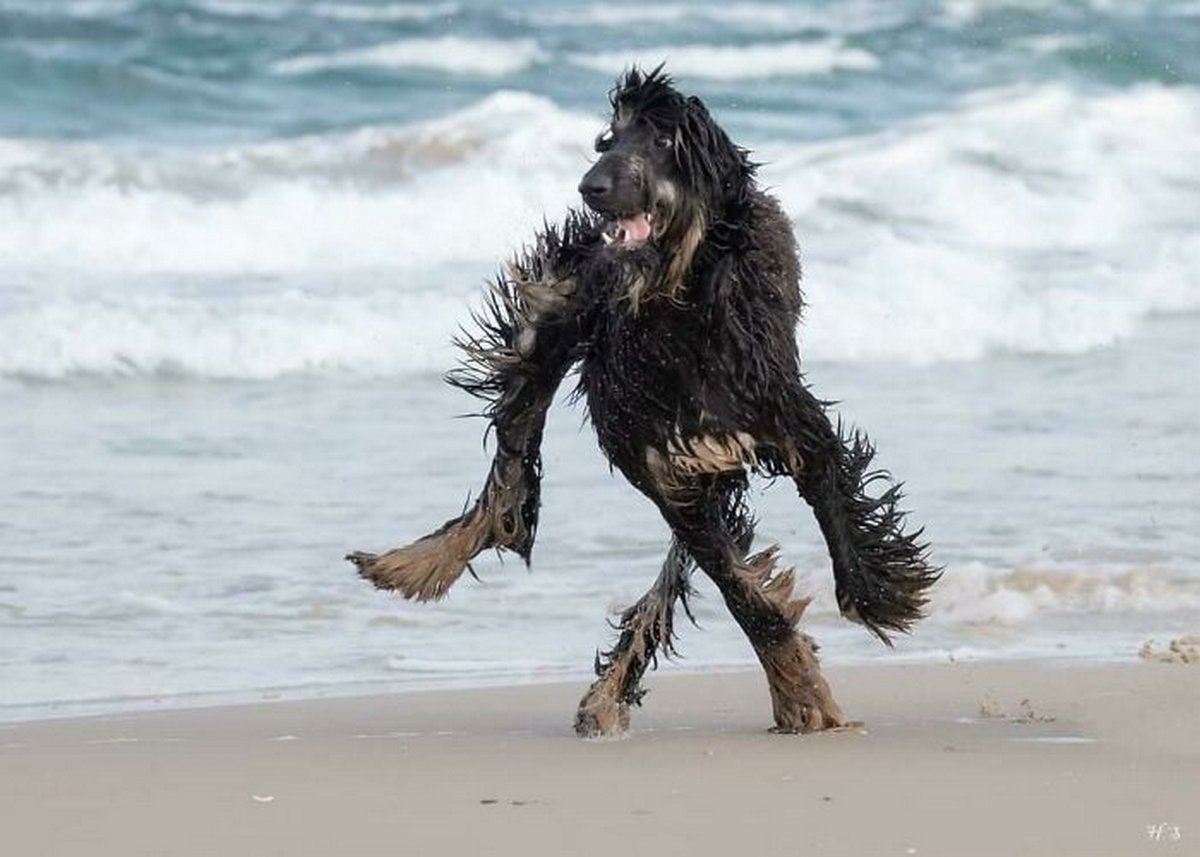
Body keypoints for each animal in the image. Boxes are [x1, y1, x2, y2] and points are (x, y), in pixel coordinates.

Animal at [348, 66, 936, 734]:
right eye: (608, 140)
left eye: (662, 142)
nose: (592, 187)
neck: (678, 309)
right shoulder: (665, 469)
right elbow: (741, 592)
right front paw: (801, 692)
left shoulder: (781, 415)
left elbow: (831, 500)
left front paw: (872, 596)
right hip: (550, 323)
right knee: (510, 469)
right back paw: (418, 565)